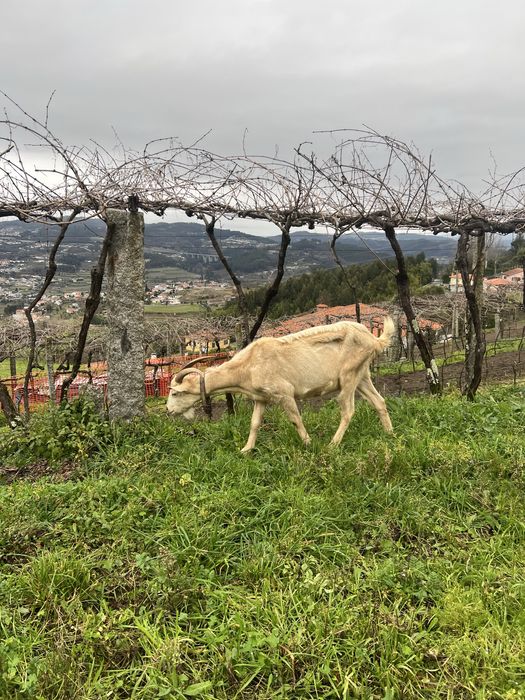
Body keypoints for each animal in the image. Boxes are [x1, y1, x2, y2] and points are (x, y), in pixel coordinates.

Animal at [166, 318, 395, 452]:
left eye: (175, 394)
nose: (168, 410)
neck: (248, 365)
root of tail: (374, 339)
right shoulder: (261, 398)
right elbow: (254, 423)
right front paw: (246, 450)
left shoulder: (284, 393)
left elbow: (295, 419)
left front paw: (308, 443)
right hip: (362, 374)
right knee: (379, 401)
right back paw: (390, 434)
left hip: (349, 375)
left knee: (347, 410)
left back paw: (332, 445)